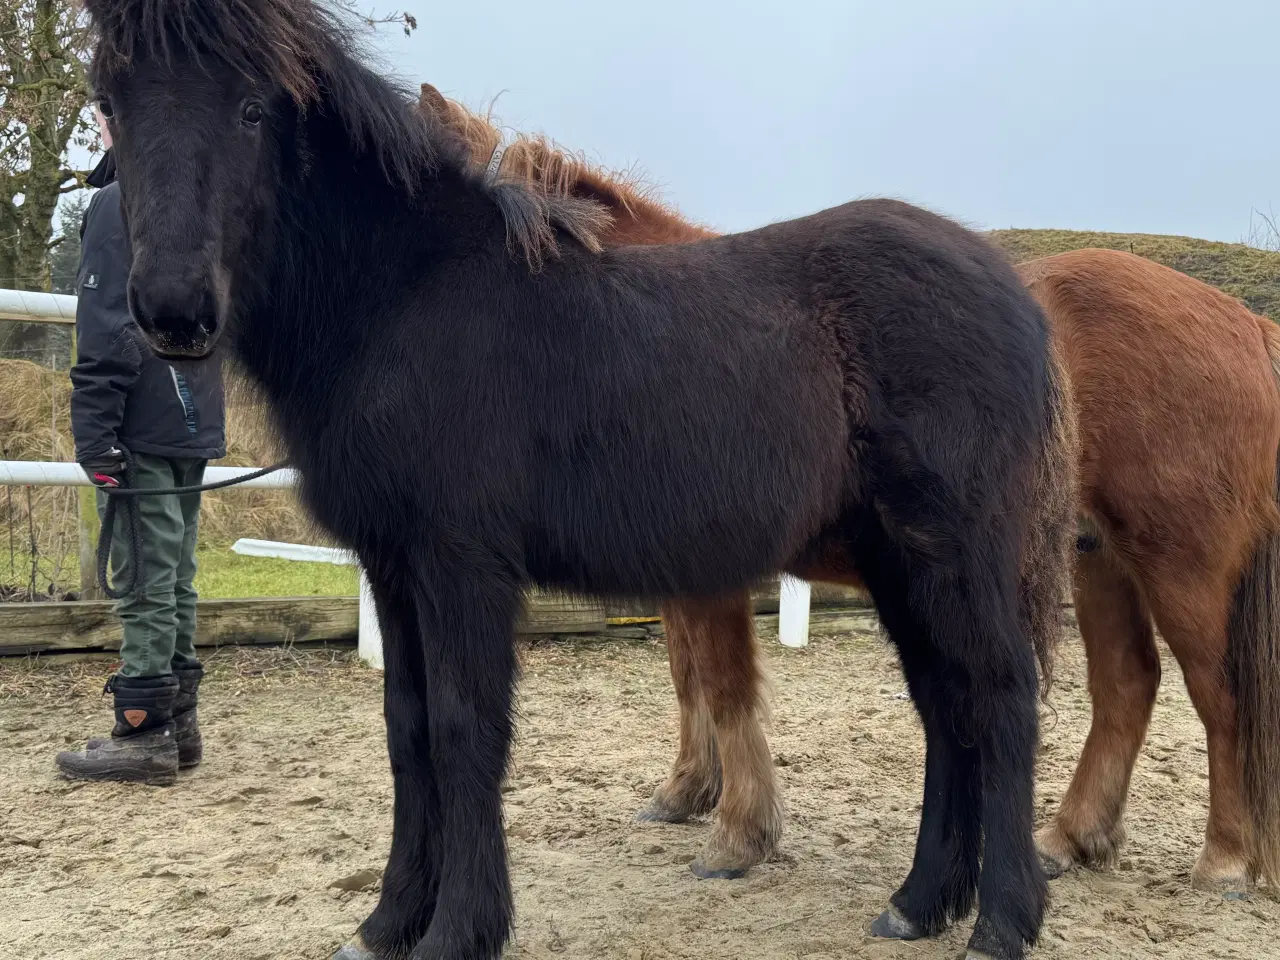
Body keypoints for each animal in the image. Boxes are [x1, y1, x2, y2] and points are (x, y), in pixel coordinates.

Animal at [85, 3, 1075, 957]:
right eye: (114, 104)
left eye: (254, 109)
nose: (174, 313)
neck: (407, 298)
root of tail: (1018, 294)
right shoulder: (394, 567)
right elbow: (408, 733)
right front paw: (387, 923)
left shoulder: (461, 566)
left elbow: (466, 731)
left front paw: (459, 930)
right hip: (898, 565)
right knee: (946, 709)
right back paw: (919, 902)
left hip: (955, 555)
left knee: (1001, 699)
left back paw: (1001, 922)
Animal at [427, 88, 1280, 896]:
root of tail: (1243, 323)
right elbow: (686, 675)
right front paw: (688, 792)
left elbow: (724, 681)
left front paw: (739, 833)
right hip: (1096, 558)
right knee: (1128, 685)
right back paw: (1069, 838)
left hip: (1180, 565)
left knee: (1219, 696)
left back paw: (1225, 860)